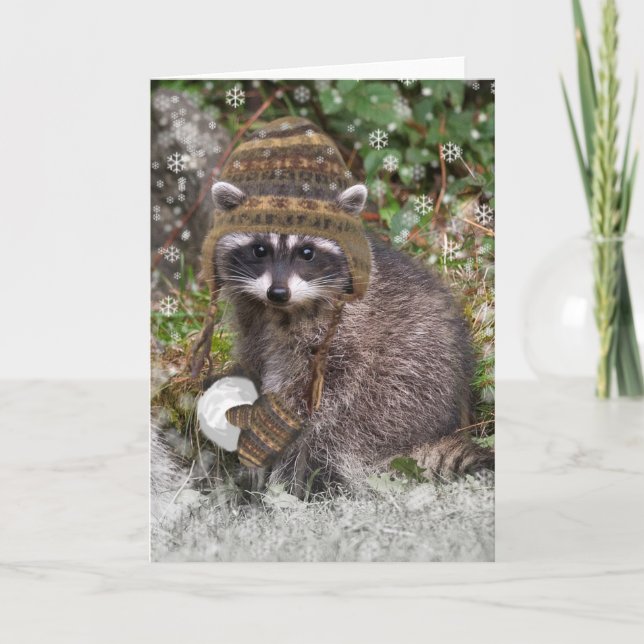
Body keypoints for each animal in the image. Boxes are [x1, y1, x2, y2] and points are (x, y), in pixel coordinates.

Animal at [213, 217, 493, 492]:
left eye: (307, 254)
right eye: (259, 251)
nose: (278, 292)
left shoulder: (343, 330)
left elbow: (325, 385)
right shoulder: (252, 327)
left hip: (393, 397)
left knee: (330, 438)